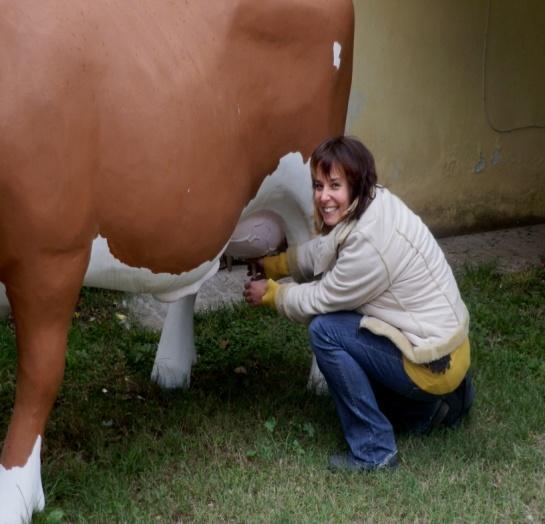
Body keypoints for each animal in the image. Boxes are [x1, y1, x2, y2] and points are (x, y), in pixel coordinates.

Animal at [0, 1, 352, 520]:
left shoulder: (51, 252)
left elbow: (40, 372)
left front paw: (16, 493)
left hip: (314, 186)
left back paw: (323, 381)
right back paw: (172, 365)